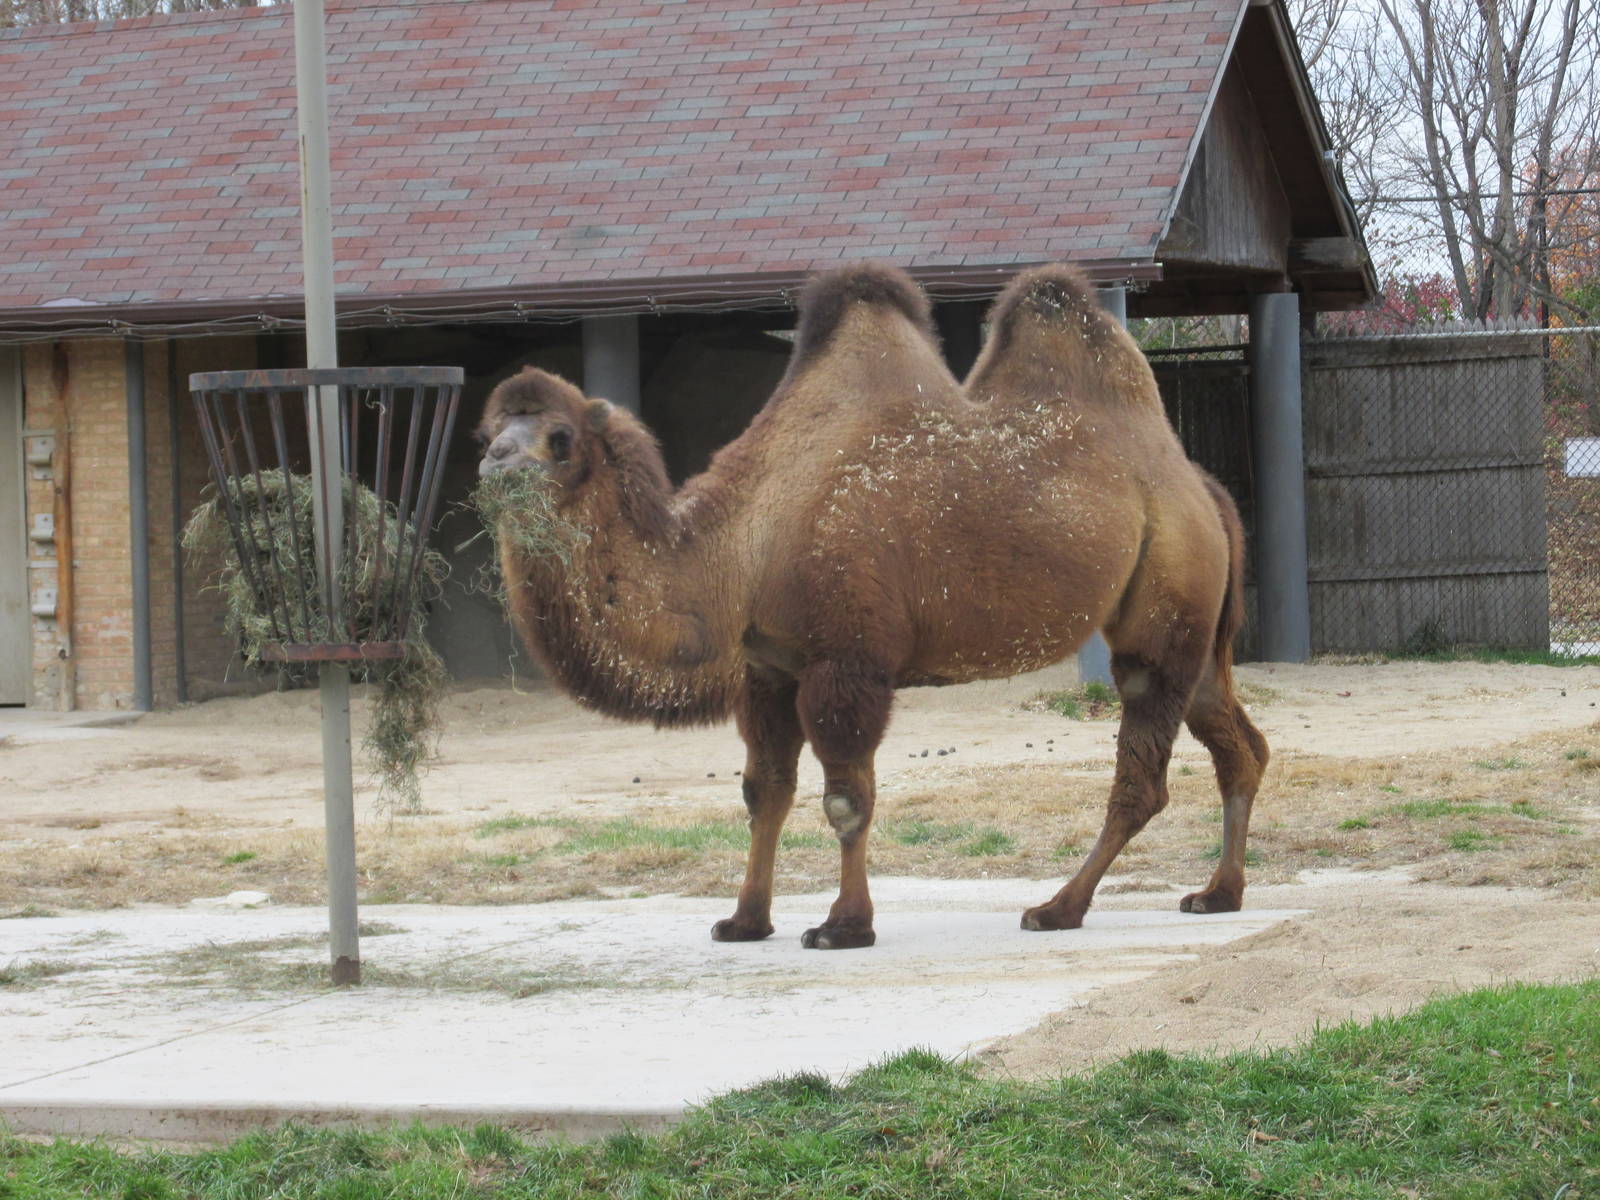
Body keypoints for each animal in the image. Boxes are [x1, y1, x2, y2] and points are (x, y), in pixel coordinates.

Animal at [476, 262, 1269, 949]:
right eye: (489, 431)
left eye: (559, 437)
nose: (492, 464)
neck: (744, 548)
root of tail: (1201, 485)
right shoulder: (770, 669)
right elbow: (764, 792)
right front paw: (745, 920)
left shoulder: (847, 661)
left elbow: (845, 799)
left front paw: (843, 926)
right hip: (1194, 620)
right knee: (1238, 742)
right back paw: (1218, 893)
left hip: (1164, 604)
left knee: (1143, 775)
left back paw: (1057, 908)